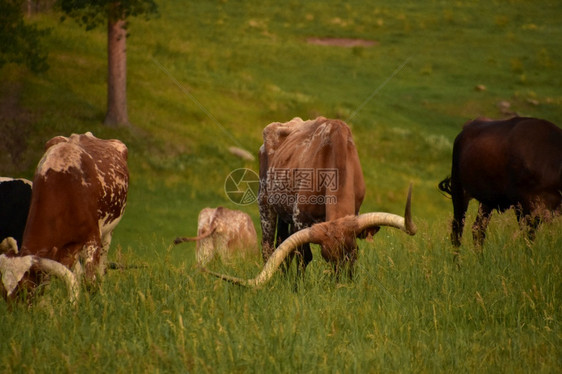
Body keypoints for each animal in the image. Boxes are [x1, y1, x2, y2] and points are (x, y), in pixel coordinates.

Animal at [0, 131, 128, 300]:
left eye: (24, 289)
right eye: (4, 292)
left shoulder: (92, 238)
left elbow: (89, 282)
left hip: (107, 234)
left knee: (101, 267)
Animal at [438, 115, 560, 247]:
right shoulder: (524, 206)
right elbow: (528, 237)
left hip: (486, 200)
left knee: (478, 229)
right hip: (459, 190)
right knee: (457, 230)